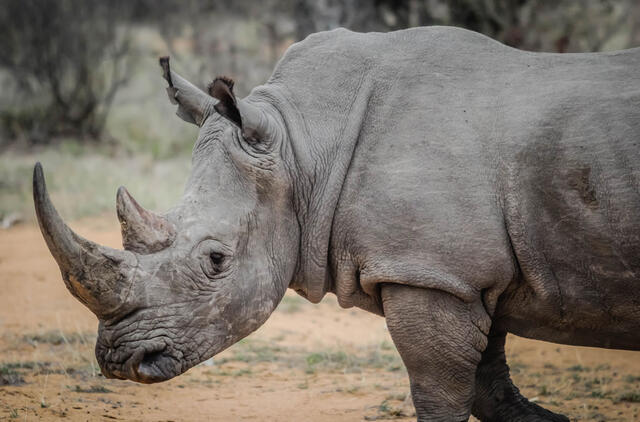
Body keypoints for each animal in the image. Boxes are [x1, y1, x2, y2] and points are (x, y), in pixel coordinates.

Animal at [33, 27, 640, 422]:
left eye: (216, 260)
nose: (120, 361)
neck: (301, 144)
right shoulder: (461, 273)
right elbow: (488, 381)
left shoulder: (428, 272)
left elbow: (441, 393)